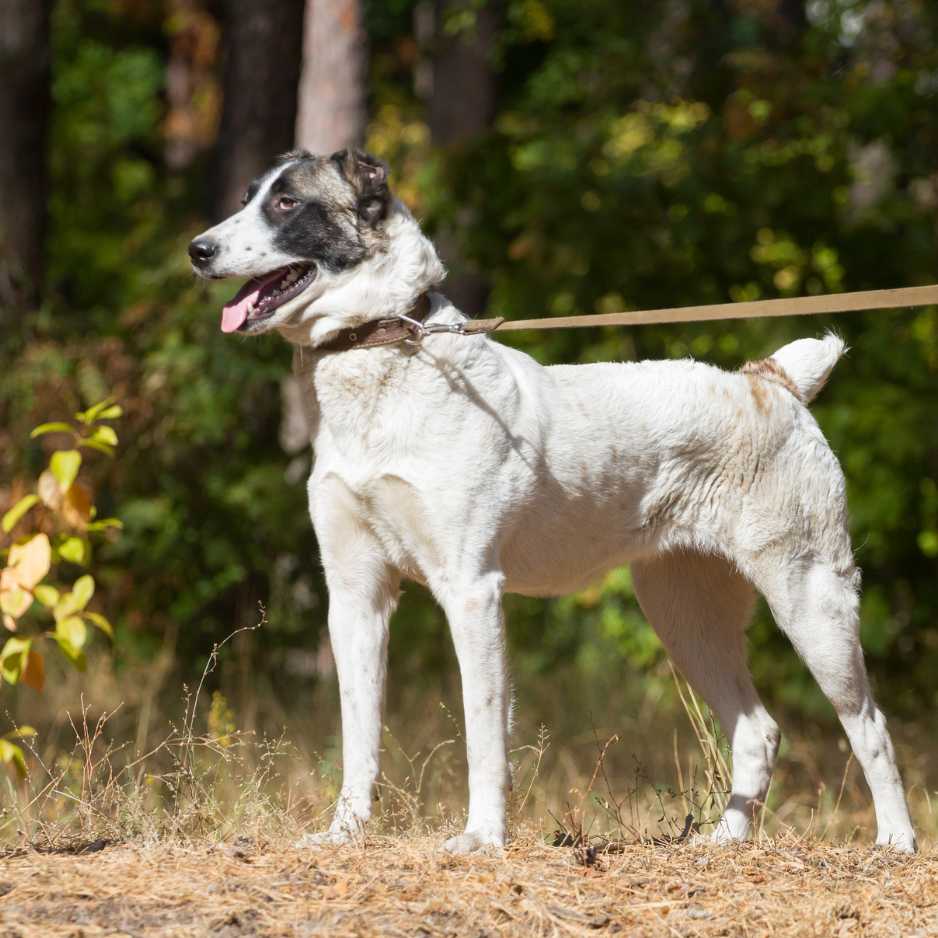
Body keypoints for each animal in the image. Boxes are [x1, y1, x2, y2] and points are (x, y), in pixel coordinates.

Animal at [188, 148, 916, 856]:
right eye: (250, 195)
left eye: (288, 202)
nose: (196, 249)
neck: (388, 356)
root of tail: (772, 381)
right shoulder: (355, 596)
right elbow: (359, 731)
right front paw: (345, 832)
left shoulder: (472, 590)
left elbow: (484, 731)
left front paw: (483, 837)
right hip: (684, 615)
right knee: (757, 729)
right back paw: (724, 843)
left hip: (810, 600)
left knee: (871, 726)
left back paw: (896, 840)